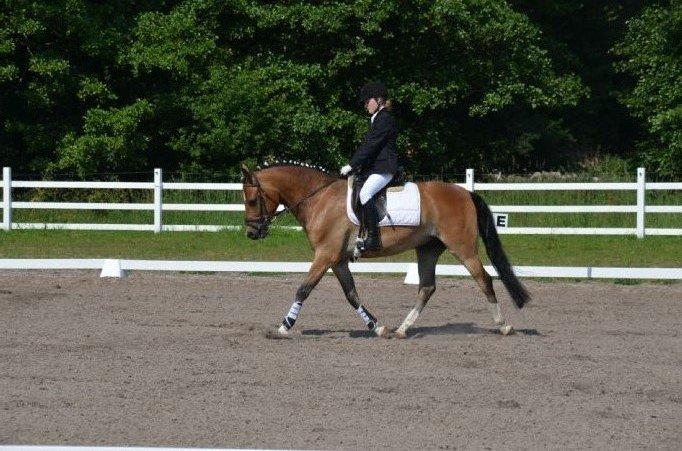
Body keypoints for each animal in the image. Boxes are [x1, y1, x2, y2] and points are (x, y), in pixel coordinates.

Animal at [241, 162, 530, 338]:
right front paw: (377, 328)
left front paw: (282, 328)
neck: (319, 199)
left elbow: (303, 289)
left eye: (253, 200)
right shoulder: (338, 260)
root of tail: (465, 193)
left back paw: (504, 326)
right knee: (427, 287)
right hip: (427, 249)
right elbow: (352, 295)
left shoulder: (324, 256)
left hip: (463, 248)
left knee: (484, 279)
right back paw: (402, 329)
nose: (252, 234)